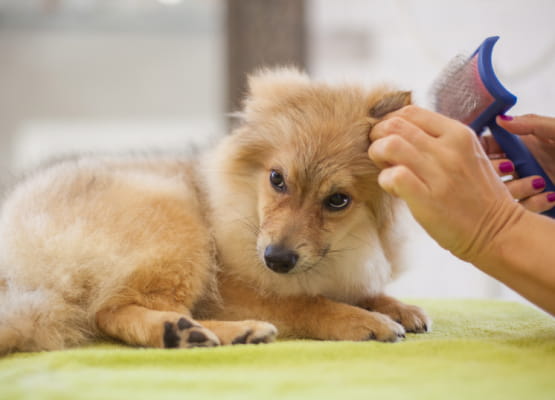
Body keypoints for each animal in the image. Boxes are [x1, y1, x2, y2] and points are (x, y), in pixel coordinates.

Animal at [0, 68, 430, 354]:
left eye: (338, 200)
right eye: (277, 179)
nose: (276, 259)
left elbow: (361, 291)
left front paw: (397, 307)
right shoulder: (234, 290)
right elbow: (306, 302)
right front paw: (365, 320)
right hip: (178, 226)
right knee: (110, 310)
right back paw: (196, 330)